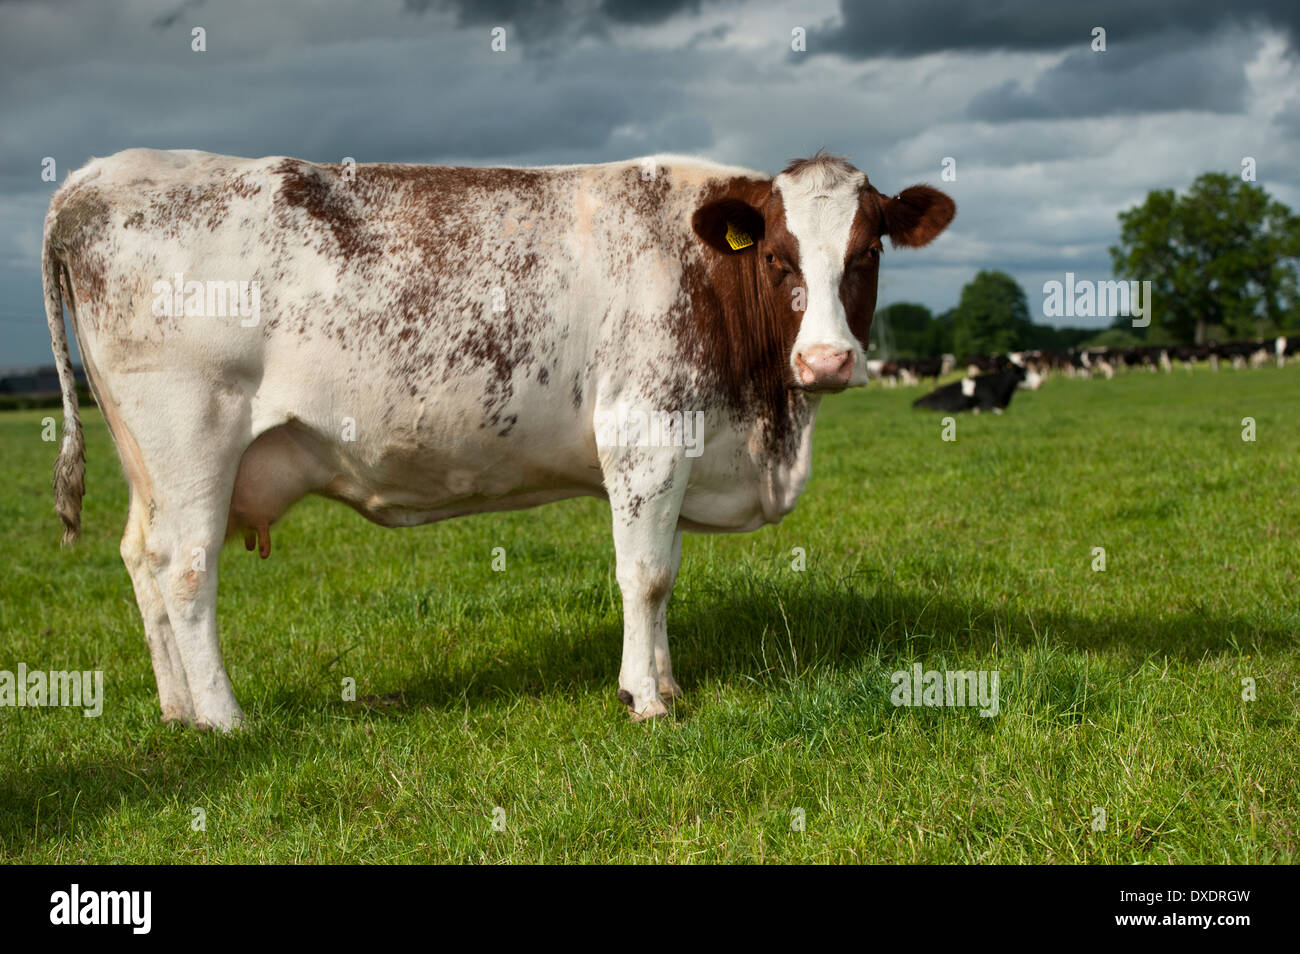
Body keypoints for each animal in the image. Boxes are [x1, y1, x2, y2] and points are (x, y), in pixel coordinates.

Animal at [43, 148, 954, 729]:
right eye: (776, 256)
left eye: (866, 253)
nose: (827, 360)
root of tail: (98, 176)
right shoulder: (646, 436)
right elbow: (645, 577)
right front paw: (644, 700)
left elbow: (664, 578)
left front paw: (665, 682)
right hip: (192, 439)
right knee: (186, 571)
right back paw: (226, 719)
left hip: (146, 459)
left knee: (141, 559)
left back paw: (177, 713)